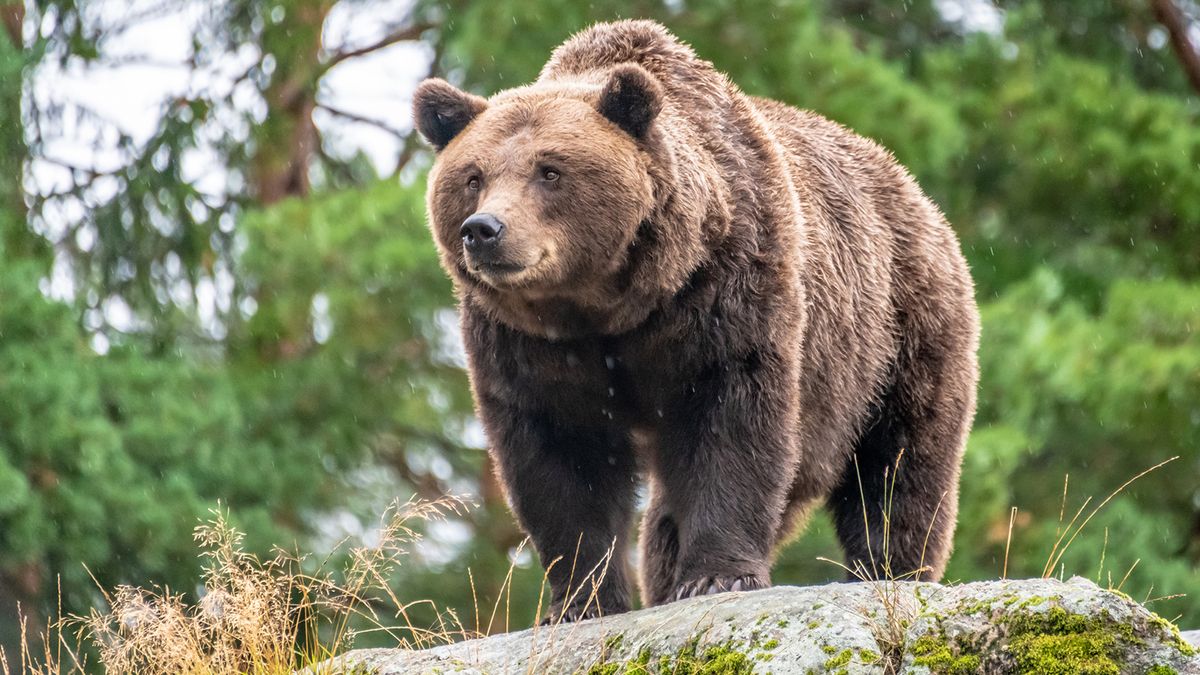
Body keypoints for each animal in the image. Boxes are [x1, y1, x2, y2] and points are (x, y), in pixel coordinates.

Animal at [410, 21, 974, 619]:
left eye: (550, 170)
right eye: (473, 176)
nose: (484, 229)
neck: (608, 307)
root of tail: (911, 186)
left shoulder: (727, 295)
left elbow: (732, 424)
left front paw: (716, 577)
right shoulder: (526, 345)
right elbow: (560, 458)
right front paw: (581, 601)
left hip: (897, 332)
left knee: (900, 464)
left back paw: (891, 570)